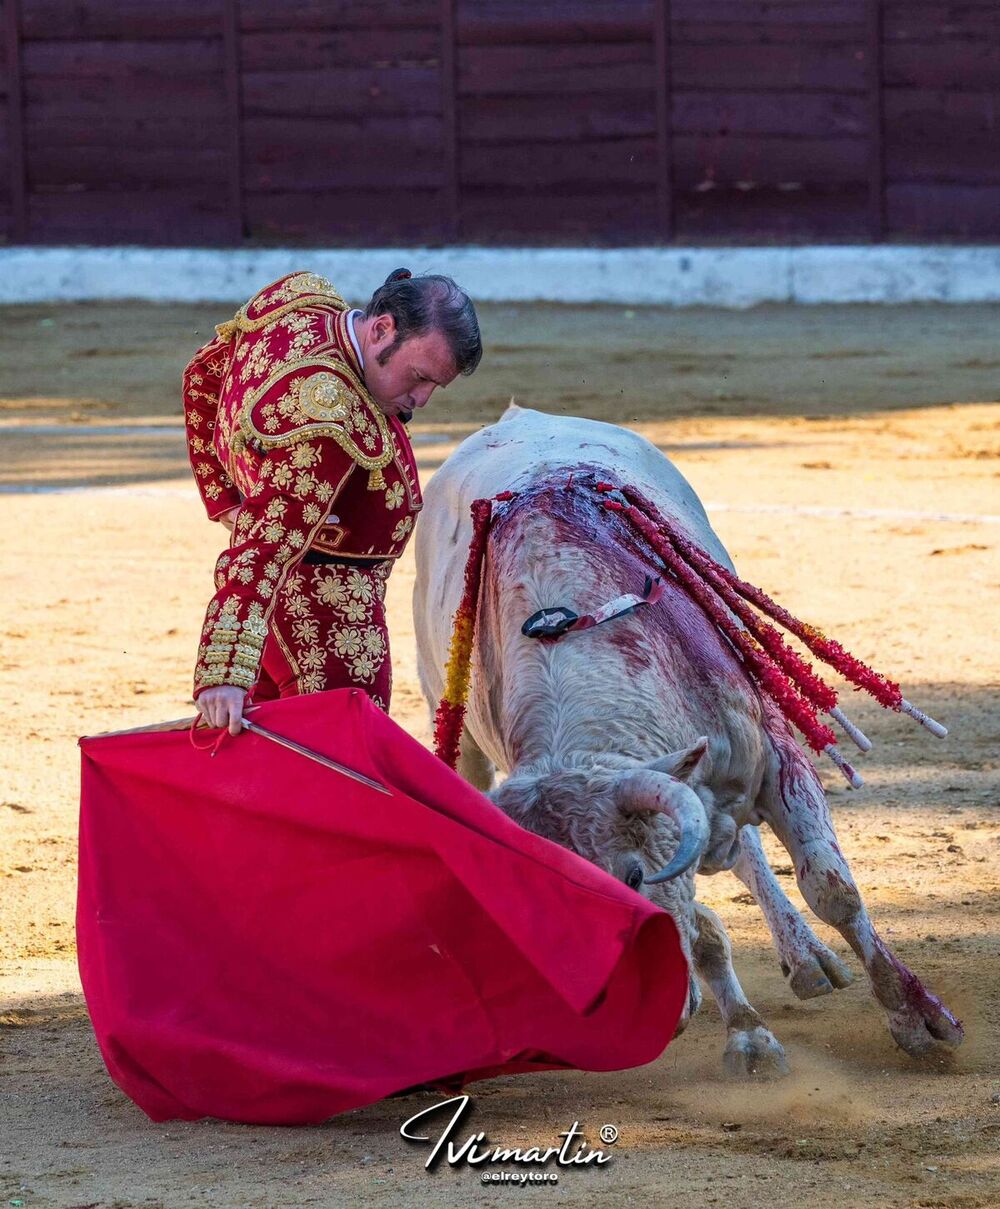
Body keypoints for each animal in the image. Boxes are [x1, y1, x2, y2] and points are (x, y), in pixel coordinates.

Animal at [413, 406, 962, 1078]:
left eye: (629, 876)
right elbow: (702, 931)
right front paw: (749, 1036)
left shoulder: (777, 760)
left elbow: (832, 889)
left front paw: (918, 1017)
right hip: (458, 732)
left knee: (751, 851)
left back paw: (808, 958)